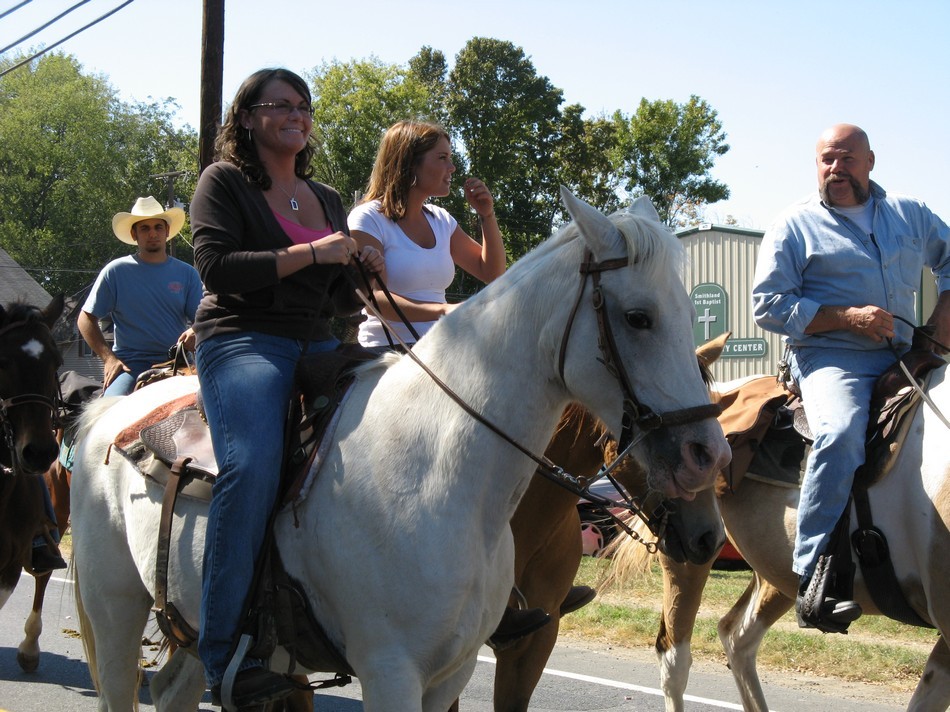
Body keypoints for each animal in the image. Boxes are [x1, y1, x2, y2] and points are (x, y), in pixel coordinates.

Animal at [70, 189, 732, 712]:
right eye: (639, 317)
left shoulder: (455, 671)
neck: (441, 475)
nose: (708, 458)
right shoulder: (390, 673)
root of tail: (109, 415)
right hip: (115, 609)